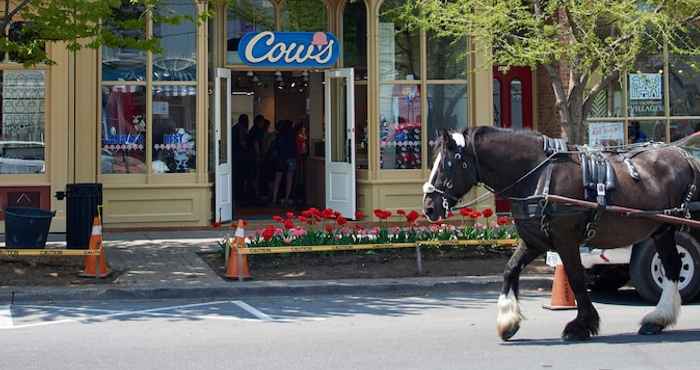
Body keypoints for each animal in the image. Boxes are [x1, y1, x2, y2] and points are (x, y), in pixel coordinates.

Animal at [424, 126, 696, 342]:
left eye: (447, 164)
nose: (428, 207)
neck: (537, 174)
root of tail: (687, 157)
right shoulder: (534, 240)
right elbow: (510, 269)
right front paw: (508, 322)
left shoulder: (565, 239)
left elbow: (576, 279)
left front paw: (581, 326)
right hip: (662, 230)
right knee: (672, 266)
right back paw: (657, 320)